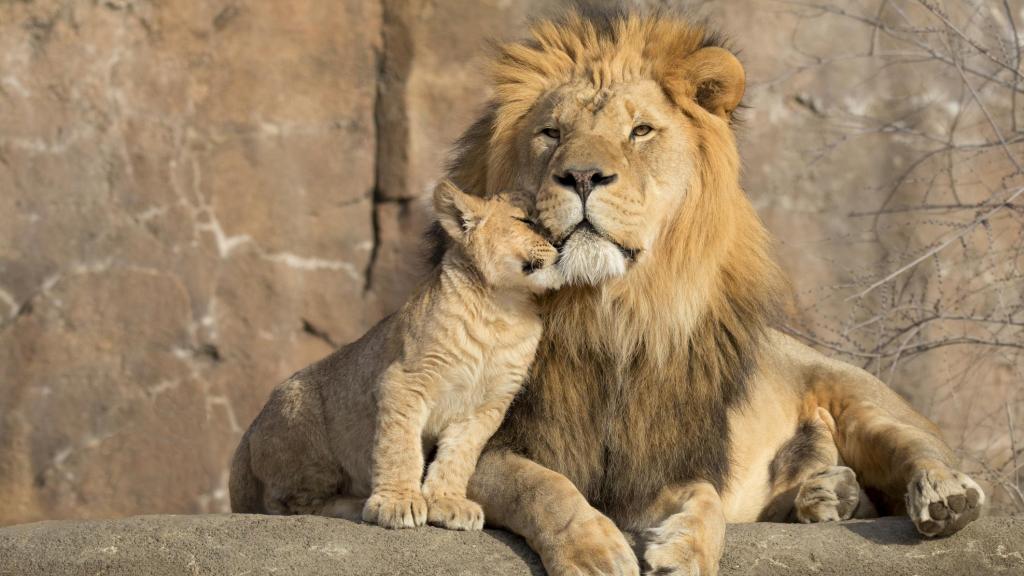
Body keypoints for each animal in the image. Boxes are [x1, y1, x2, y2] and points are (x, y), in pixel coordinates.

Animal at [229, 182, 562, 531]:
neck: (504, 309)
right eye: (525, 221)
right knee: (286, 504)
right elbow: (400, 446)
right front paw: (397, 503)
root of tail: (247, 435)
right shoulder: (405, 380)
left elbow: (459, 456)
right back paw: (356, 504)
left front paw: (448, 502)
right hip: (301, 417)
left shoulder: (487, 406)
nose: (560, 243)